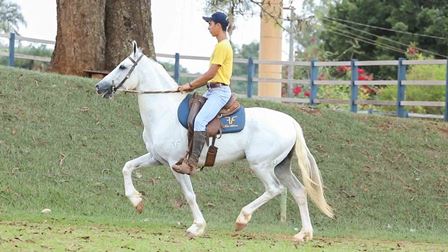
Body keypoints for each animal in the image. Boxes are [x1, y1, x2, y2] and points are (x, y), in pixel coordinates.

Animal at [94, 41, 332, 242]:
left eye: (123, 67)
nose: (99, 86)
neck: (164, 111)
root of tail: (291, 122)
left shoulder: (174, 164)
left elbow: (189, 195)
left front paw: (197, 227)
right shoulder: (156, 158)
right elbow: (127, 167)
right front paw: (137, 201)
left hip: (261, 166)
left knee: (275, 189)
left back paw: (242, 219)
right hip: (281, 167)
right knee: (299, 192)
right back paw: (304, 234)